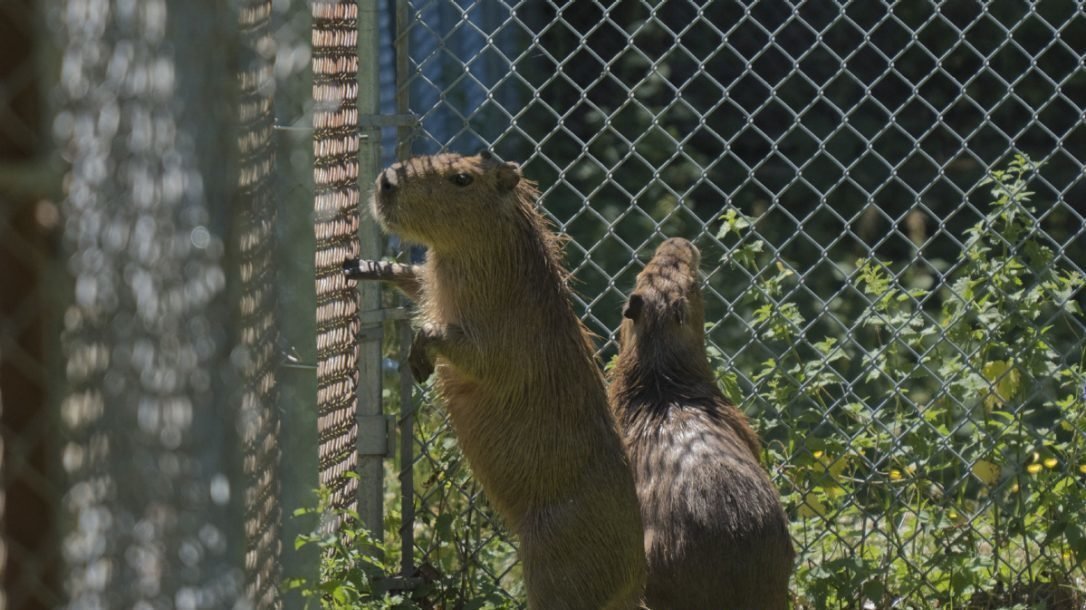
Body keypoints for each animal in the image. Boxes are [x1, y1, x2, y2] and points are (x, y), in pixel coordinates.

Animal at [357, 153, 646, 609]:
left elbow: (467, 351)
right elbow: (418, 280)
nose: (386, 181)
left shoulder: (508, 339)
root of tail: (635, 587)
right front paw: (366, 267)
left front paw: (419, 361)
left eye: (461, 178)